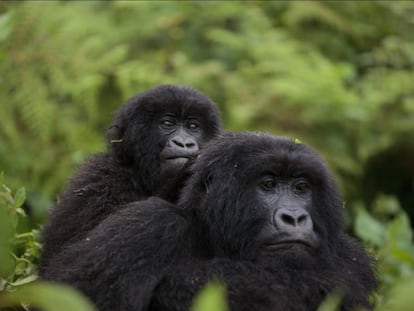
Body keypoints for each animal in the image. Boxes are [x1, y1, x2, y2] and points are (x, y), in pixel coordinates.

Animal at [43, 133, 376, 311]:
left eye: (302, 188)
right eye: (268, 185)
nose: (294, 217)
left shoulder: (352, 257)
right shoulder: (150, 225)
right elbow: (71, 291)